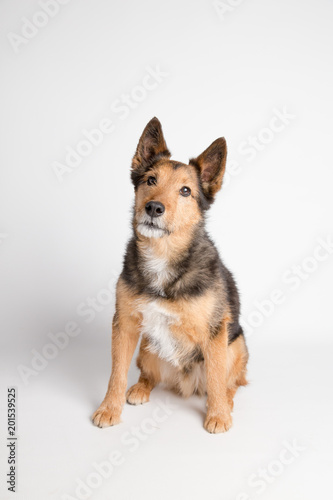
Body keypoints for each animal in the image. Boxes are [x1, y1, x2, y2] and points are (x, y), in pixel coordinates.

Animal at [92, 117, 248, 434]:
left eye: (185, 191)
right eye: (151, 180)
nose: (153, 208)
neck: (162, 256)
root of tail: (184, 383)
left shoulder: (216, 334)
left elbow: (216, 377)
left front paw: (218, 415)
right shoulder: (125, 325)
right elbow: (116, 373)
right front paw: (109, 408)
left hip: (236, 345)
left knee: (230, 381)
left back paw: (226, 402)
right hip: (146, 348)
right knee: (148, 375)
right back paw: (140, 388)